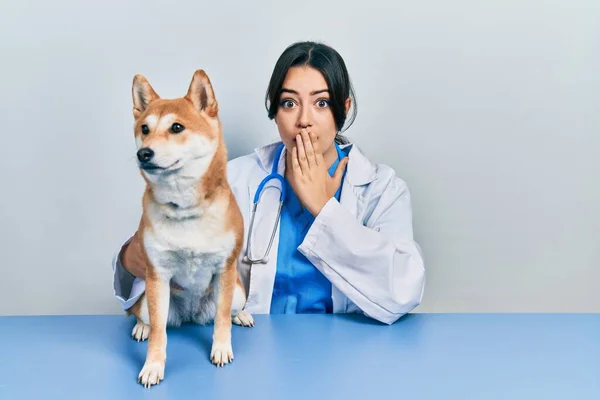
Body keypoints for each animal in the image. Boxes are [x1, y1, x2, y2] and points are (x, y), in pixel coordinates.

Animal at [125, 69, 252, 388]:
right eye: (145, 129)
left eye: (176, 127)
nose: (144, 153)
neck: (186, 210)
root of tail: (192, 315)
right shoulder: (157, 274)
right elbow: (160, 333)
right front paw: (153, 366)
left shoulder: (225, 269)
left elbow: (221, 319)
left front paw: (221, 348)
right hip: (147, 298)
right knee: (144, 316)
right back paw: (142, 327)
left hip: (237, 291)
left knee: (228, 310)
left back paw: (241, 316)